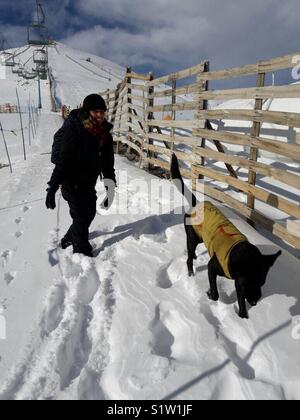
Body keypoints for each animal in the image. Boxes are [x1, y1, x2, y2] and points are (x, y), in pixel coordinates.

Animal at [171, 154, 282, 318]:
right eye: (249, 283)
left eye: (262, 283)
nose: (255, 302)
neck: (239, 253)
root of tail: (196, 205)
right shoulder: (215, 268)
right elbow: (217, 294)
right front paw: (211, 294)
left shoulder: (237, 281)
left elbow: (240, 299)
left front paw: (242, 315)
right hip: (192, 237)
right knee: (188, 258)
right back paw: (191, 272)